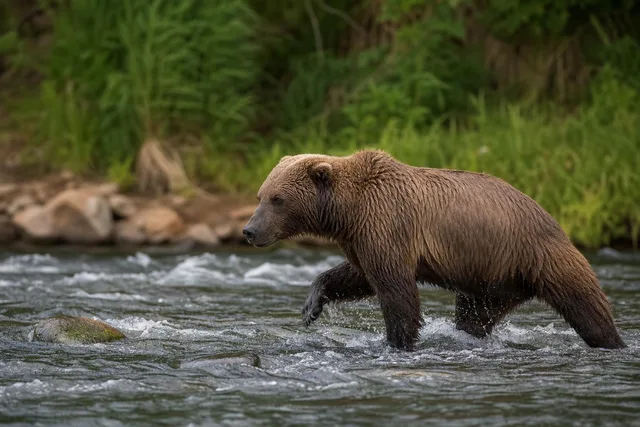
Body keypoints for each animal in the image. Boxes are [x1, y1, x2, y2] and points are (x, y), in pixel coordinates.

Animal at [242, 149, 626, 351]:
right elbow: (358, 276)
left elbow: (396, 289)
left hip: (538, 253)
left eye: (277, 199)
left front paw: (397, 341)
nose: (249, 230)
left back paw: (612, 341)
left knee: (584, 303)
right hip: (490, 278)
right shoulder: (363, 237)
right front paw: (311, 306)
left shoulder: (388, 222)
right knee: (474, 315)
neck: (348, 210)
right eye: (260, 195)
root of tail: (549, 215)